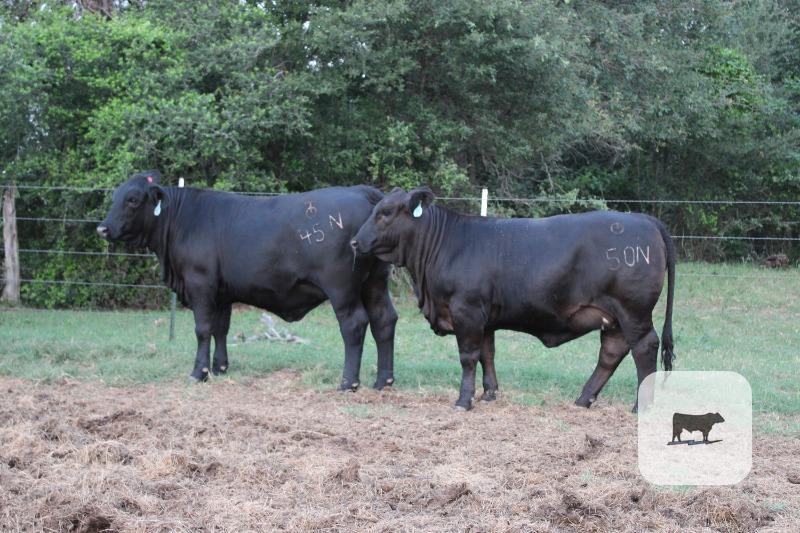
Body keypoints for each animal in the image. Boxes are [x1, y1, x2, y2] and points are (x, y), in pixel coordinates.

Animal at [97, 170, 398, 390]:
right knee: (384, 320)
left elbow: (202, 329)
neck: (183, 219)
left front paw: (198, 372)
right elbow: (220, 328)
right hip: (375, 282)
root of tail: (361, 191)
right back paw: (383, 380)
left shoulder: (200, 284)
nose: (102, 228)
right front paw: (219, 367)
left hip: (342, 288)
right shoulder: (222, 293)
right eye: (115, 196)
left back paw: (348, 382)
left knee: (354, 324)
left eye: (133, 199)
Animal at [351, 187, 676, 411]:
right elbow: (487, 353)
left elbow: (468, 357)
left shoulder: (466, 310)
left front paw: (464, 400)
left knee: (644, 348)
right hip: (614, 316)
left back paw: (640, 406)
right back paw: (583, 399)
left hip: (633, 311)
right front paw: (489, 393)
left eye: (386, 212)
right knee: (612, 351)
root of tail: (643, 219)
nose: (355, 241)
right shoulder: (483, 318)